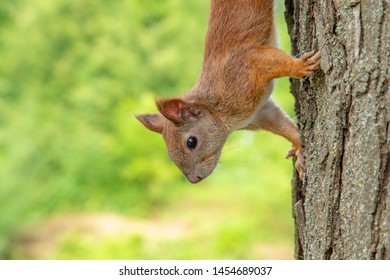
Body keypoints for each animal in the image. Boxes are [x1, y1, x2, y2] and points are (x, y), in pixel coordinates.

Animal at [136, 0, 320, 184]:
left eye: (191, 142)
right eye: (169, 153)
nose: (195, 180)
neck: (218, 109)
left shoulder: (247, 66)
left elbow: (275, 62)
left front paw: (301, 67)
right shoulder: (260, 113)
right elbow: (284, 127)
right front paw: (299, 148)